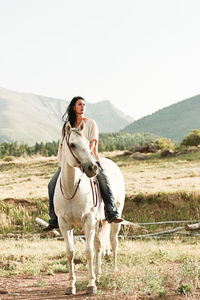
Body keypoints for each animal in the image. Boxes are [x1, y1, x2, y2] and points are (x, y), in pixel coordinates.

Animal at [54, 121, 124, 296]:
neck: (71, 189)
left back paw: (113, 271)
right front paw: (71, 286)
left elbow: (88, 251)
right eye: (72, 144)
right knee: (99, 247)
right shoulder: (64, 224)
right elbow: (70, 253)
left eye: (87, 143)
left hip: (114, 221)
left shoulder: (89, 221)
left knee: (113, 243)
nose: (92, 168)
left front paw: (91, 286)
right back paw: (98, 275)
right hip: (99, 223)